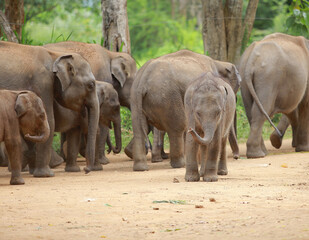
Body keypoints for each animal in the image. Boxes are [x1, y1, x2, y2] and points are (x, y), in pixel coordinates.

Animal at [0, 40, 98, 176]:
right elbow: (50, 119)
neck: (55, 55)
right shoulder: (42, 84)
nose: (86, 170)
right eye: (91, 85)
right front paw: (46, 175)